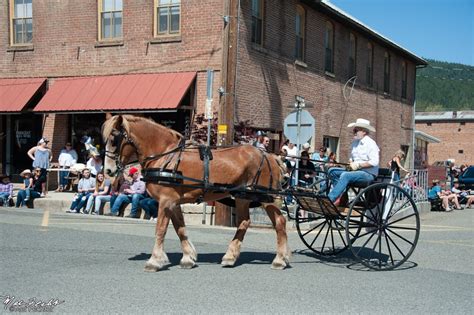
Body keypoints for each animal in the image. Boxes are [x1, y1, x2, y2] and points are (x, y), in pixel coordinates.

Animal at [102, 115, 290, 272]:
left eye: (114, 139)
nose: (108, 171)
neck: (166, 157)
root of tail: (271, 156)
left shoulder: (166, 201)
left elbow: (161, 229)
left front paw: (154, 261)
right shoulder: (174, 202)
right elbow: (180, 228)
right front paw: (188, 258)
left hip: (266, 198)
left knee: (280, 222)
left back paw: (280, 259)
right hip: (242, 197)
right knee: (244, 222)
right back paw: (230, 257)